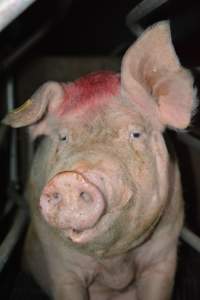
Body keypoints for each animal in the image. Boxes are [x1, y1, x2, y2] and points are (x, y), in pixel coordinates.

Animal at [2, 21, 196, 300]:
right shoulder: (62, 267)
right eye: (63, 137)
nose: (70, 179)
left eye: (135, 134)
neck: (113, 262)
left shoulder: (164, 255)